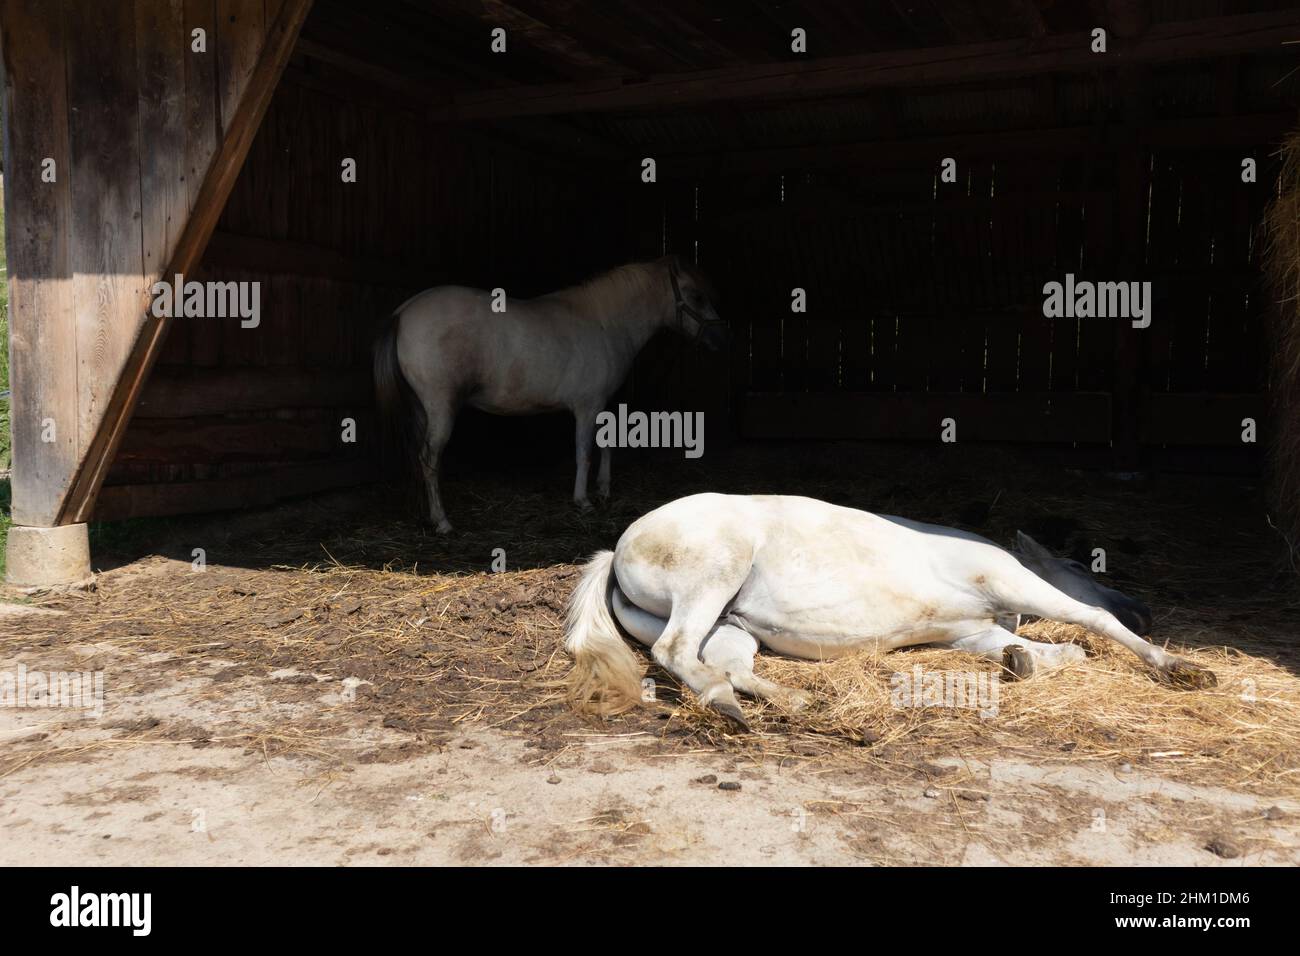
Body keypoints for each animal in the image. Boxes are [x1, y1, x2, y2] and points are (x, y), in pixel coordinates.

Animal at [569, 494, 1216, 723]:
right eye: (1082, 568)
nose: (1145, 611)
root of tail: (619, 549)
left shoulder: (968, 634)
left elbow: (1035, 649)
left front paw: (1026, 661)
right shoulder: (1011, 582)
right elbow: (1089, 621)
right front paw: (1180, 666)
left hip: (729, 622)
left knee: (725, 664)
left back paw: (792, 701)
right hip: (711, 580)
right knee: (676, 650)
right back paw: (732, 706)